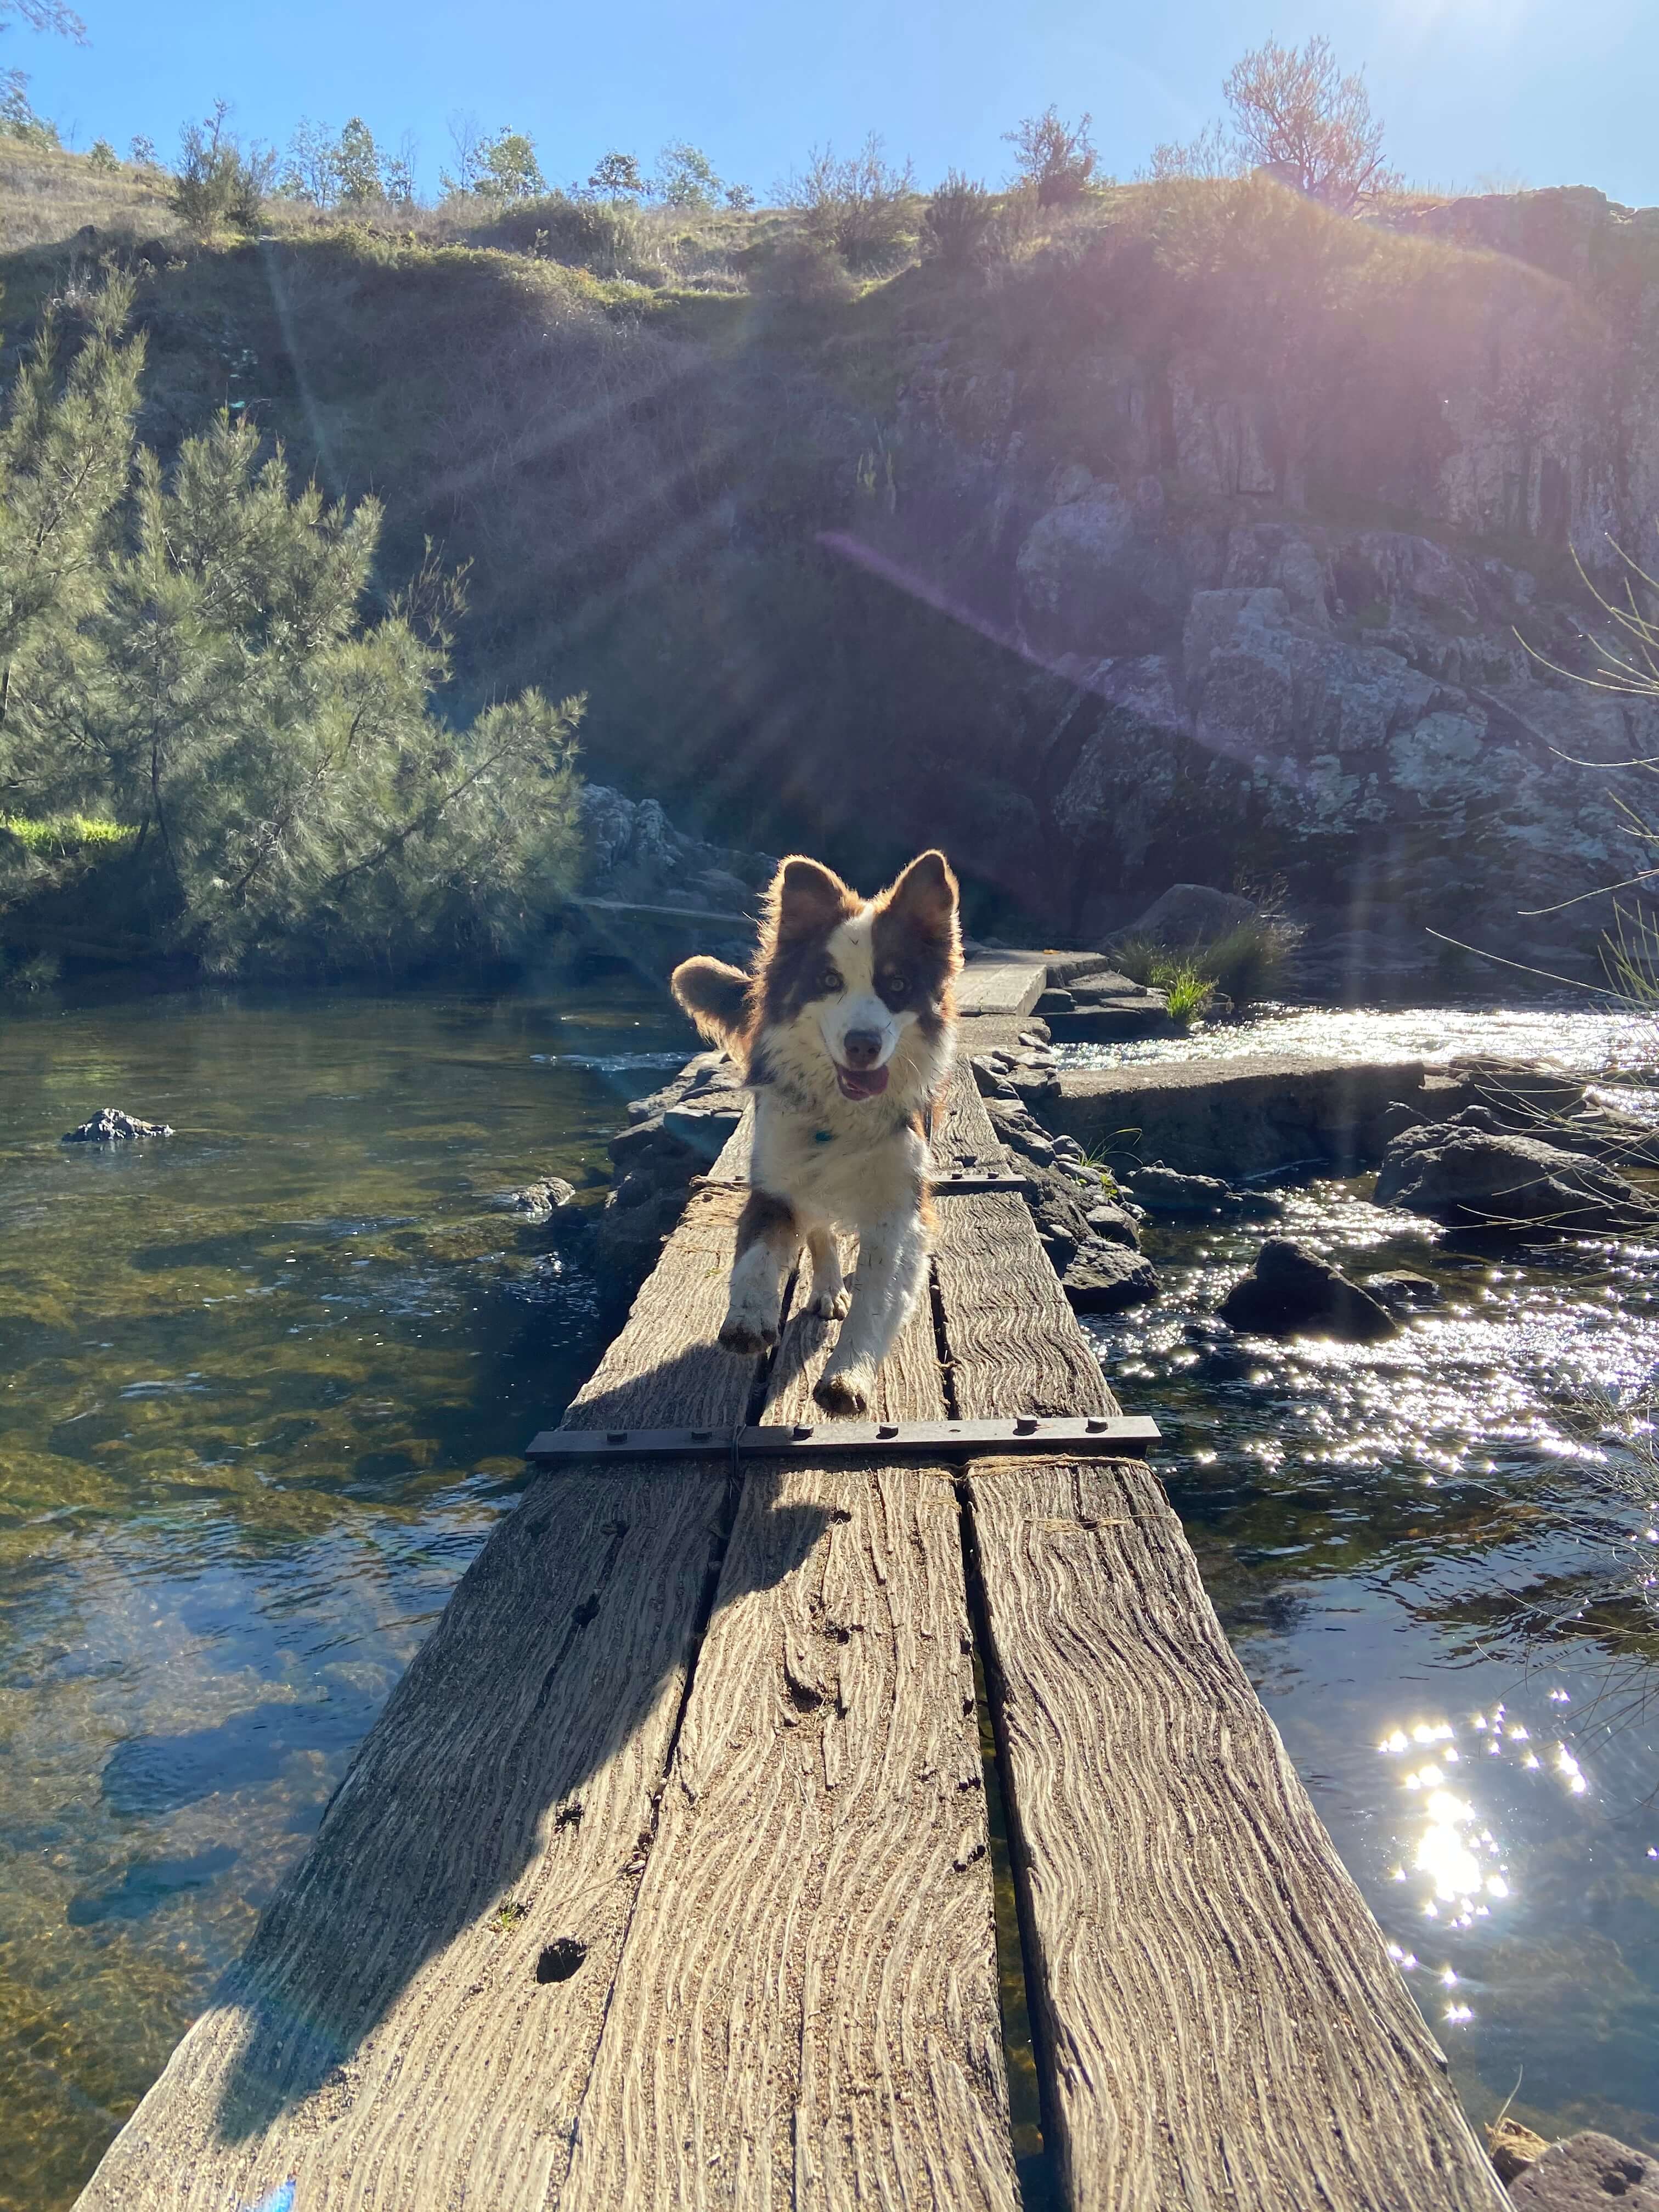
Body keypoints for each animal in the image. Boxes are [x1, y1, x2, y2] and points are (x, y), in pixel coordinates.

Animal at [672, 845, 960, 1415]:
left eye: (897, 986)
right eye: (829, 983)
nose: (862, 1045)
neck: (842, 1112)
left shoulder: (900, 1206)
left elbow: (878, 1297)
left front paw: (849, 1375)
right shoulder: (777, 1174)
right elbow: (759, 1252)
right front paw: (749, 1317)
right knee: (821, 1228)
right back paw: (826, 1289)